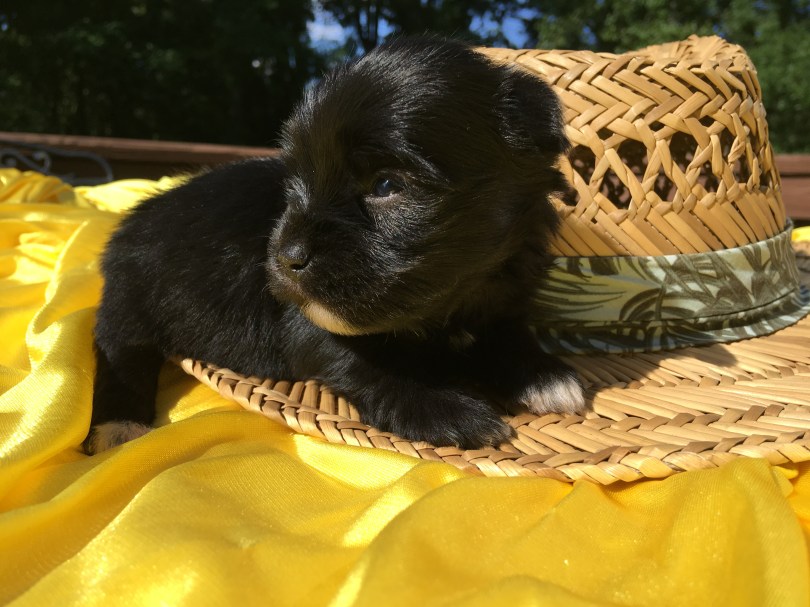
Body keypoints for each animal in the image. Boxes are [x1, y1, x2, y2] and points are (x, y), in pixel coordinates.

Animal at [85, 37, 586, 454]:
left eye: (386, 185)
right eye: (296, 181)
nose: (285, 257)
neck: (454, 300)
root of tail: (137, 215)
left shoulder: (504, 294)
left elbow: (509, 333)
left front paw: (545, 375)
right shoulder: (308, 325)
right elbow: (365, 366)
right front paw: (445, 410)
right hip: (130, 298)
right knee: (120, 349)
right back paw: (118, 428)